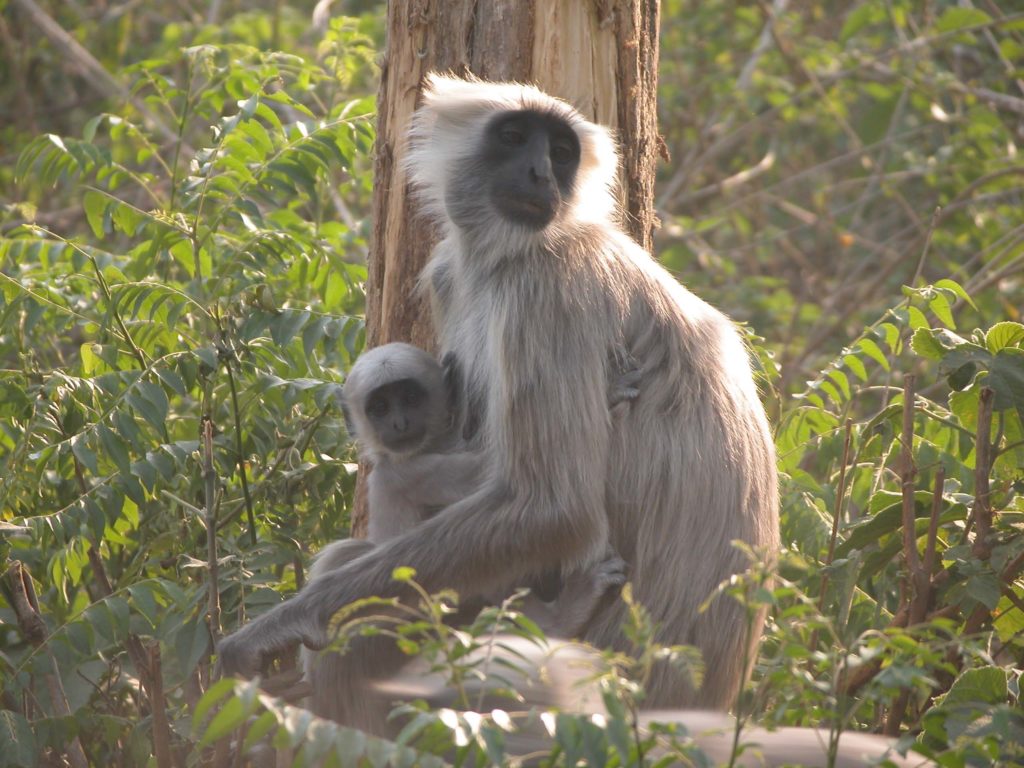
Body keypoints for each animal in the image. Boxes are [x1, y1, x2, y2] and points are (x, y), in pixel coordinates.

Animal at [311, 344, 634, 638]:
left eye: (410, 398)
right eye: (379, 407)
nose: (399, 423)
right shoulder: (401, 474)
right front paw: (609, 392)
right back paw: (559, 620)